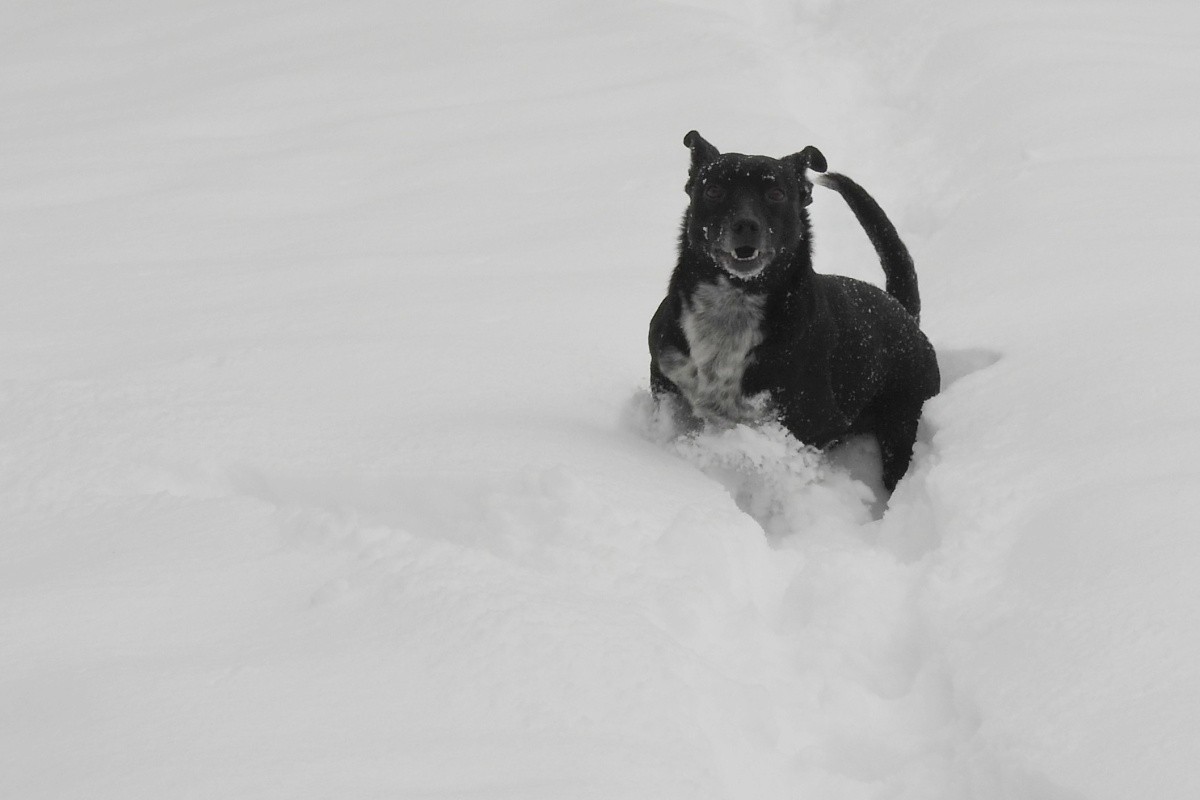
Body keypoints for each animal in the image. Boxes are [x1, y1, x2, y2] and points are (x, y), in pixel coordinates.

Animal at [648, 131, 939, 491]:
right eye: (713, 189)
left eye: (776, 193)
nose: (745, 224)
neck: (734, 300)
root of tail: (904, 312)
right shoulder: (666, 379)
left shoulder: (814, 422)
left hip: (901, 424)